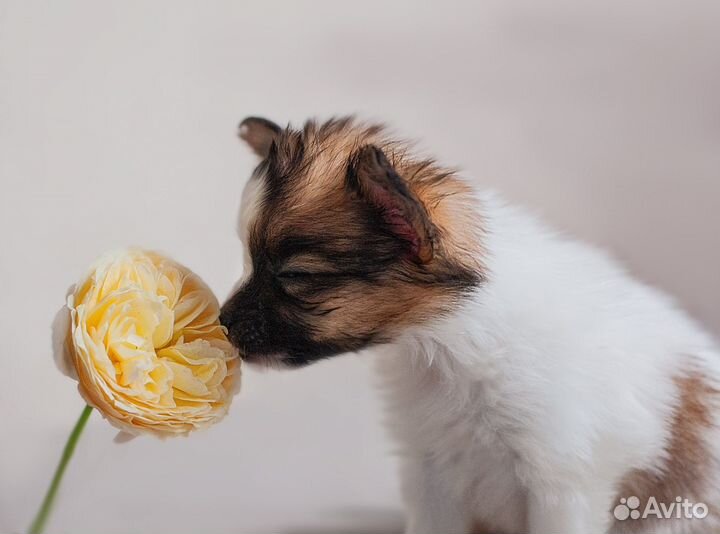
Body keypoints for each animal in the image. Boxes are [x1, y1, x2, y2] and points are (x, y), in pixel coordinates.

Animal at [219, 117, 720, 534]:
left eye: (295, 276)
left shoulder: (563, 484)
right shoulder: (432, 475)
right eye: (246, 260)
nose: (222, 323)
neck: (445, 343)